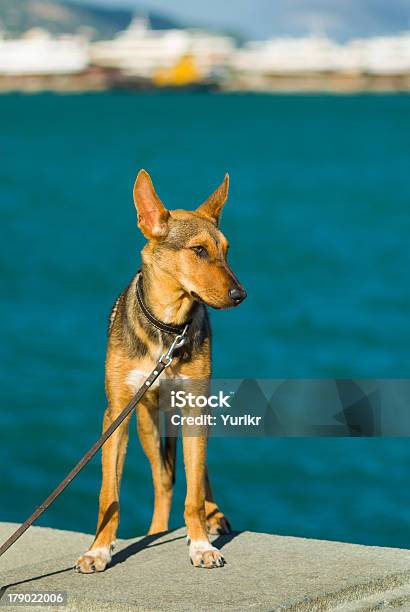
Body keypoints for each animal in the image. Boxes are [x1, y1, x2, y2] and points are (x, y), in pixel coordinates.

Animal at [75, 170, 245, 572]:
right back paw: (156, 530)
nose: (240, 294)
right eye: (199, 250)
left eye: (227, 250)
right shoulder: (116, 415)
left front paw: (201, 544)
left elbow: (194, 490)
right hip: (147, 423)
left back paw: (213, 516)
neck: (167, 329)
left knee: (195, 473)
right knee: (163, 479)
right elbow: (109, 495)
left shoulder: (197, 407)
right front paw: (99, 550)